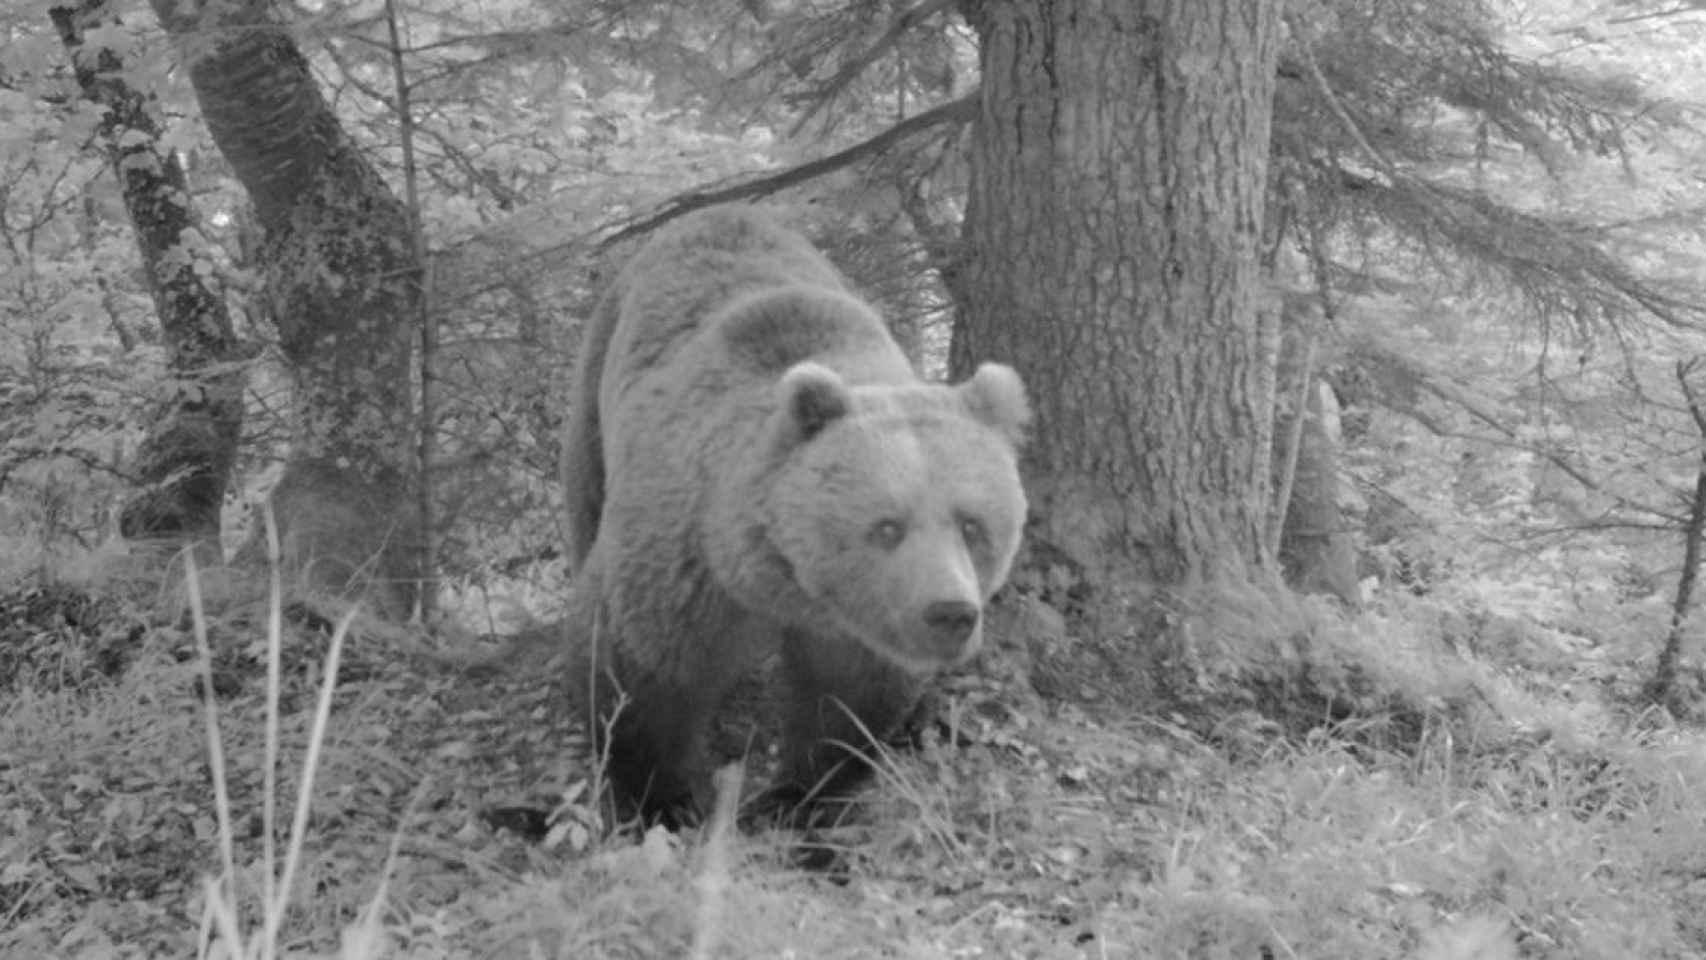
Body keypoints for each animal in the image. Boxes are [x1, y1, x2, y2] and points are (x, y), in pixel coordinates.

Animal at [566, 206, 1030, 828]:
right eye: (887, 525)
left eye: (973, 524)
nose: (950, 612)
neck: (781, 583)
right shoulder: (685, 561)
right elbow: (637, 670)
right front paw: (663, 800)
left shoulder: (859, 626)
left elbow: (850, 701)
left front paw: (795, 796)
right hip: (595, 392)